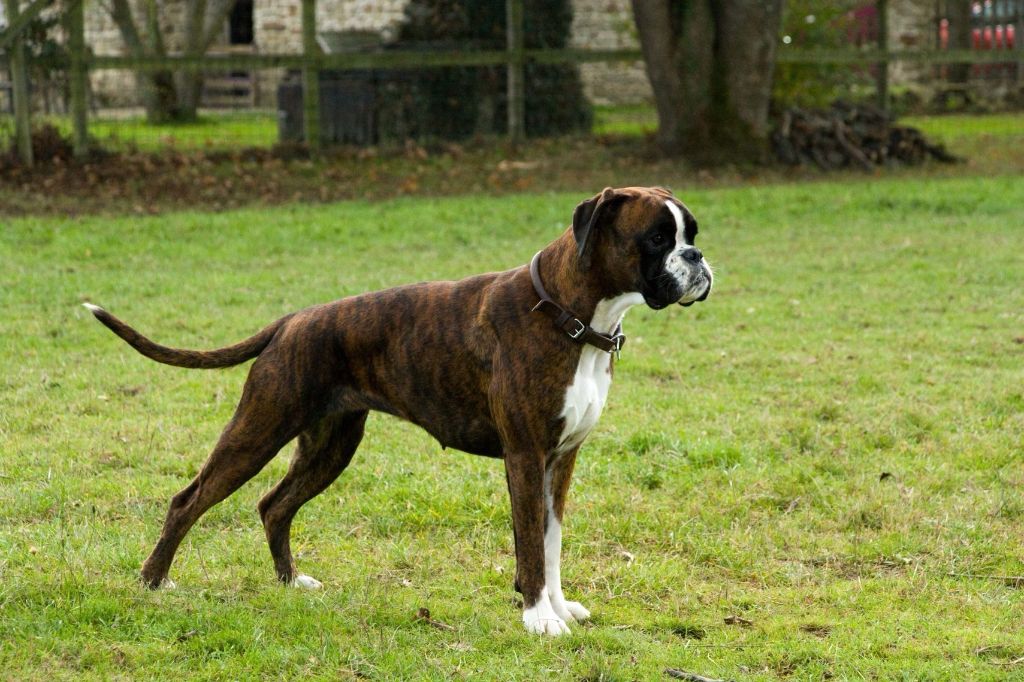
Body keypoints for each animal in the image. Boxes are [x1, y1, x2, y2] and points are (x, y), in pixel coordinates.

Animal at [83, 184, 712, 630]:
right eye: (657, 238)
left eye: (689, 233)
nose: (697, 255)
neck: (569, 315)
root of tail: (292, 321)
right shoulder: (526, 455)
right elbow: (531, 544)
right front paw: (539, 619)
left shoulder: (561, 460)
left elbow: (551, 540)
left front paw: (559, 608)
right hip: (258, 430)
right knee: (188, 501)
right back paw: (153, 582)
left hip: (331, 446)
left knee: (274, 506)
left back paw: (291, 582)